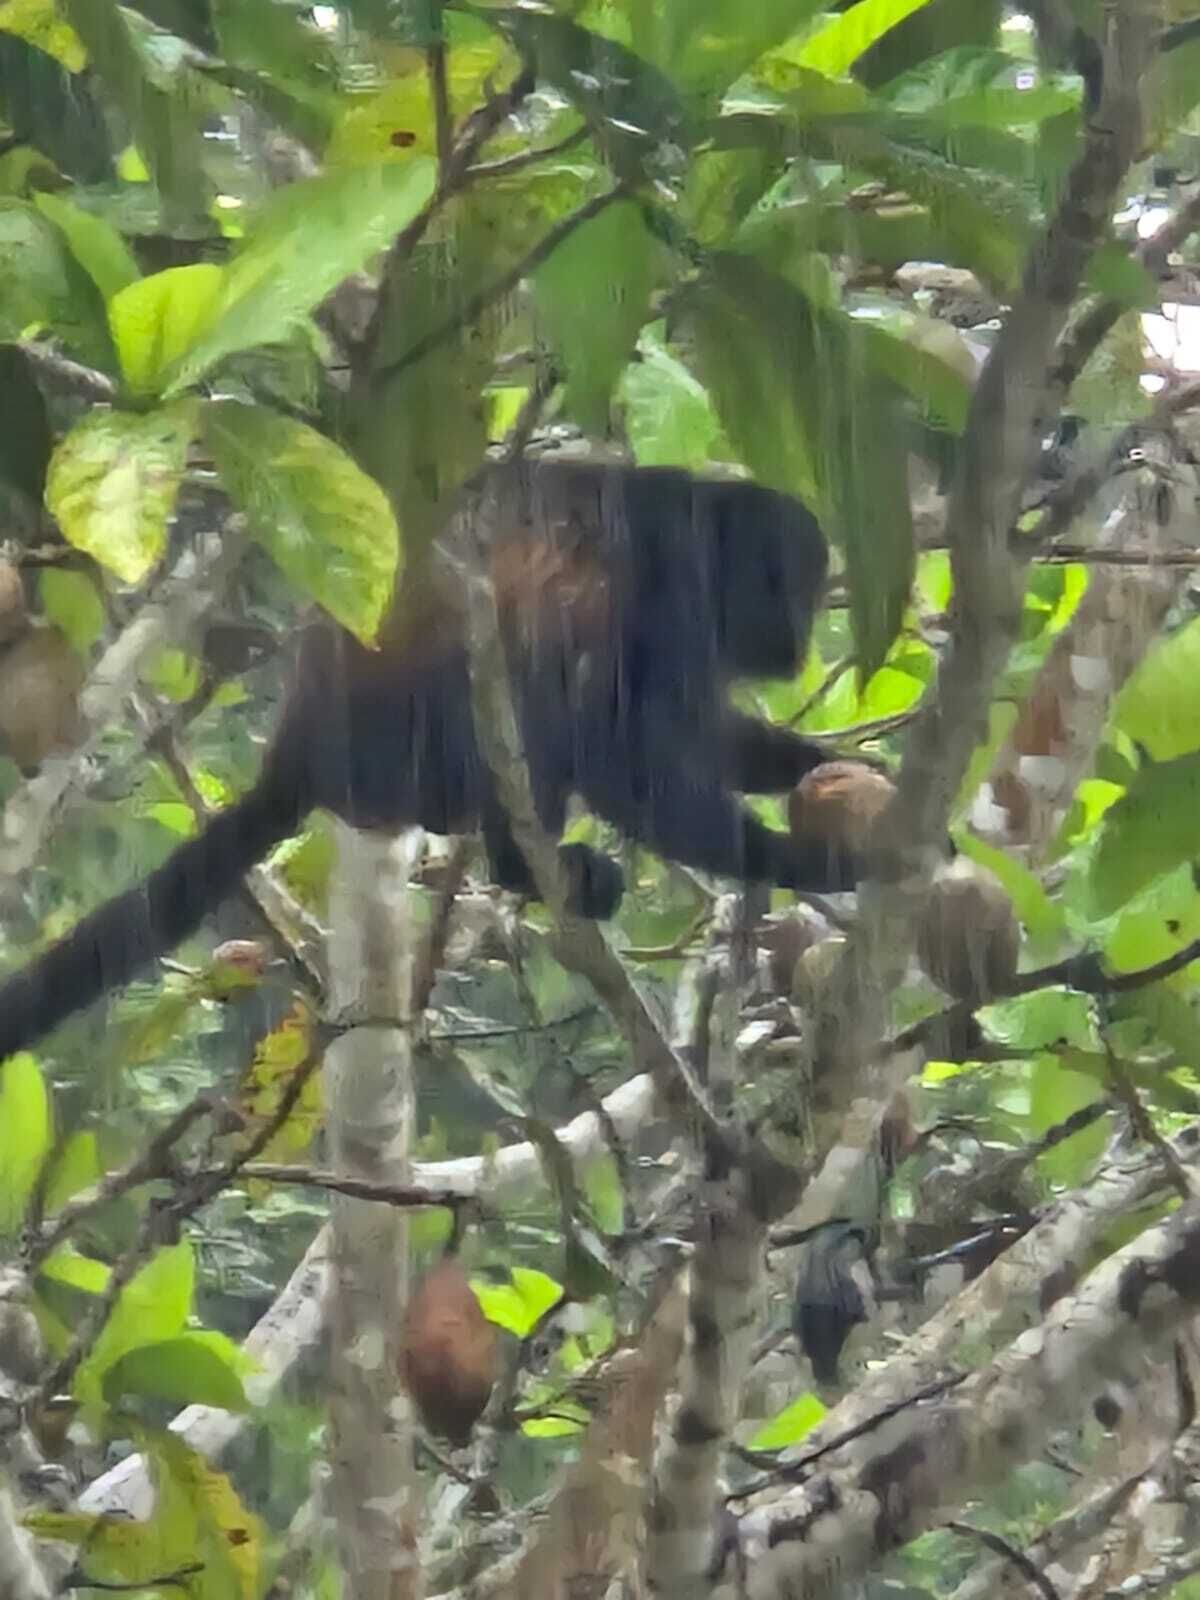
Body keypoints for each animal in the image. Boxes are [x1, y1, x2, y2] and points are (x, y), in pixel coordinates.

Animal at [0, 455, 859, 1063]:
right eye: (793, 586)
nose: (801, 638)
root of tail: (300, 749)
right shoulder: (676, 595)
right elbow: (628, 762)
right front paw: (824, 861)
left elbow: (705, 735)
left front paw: (839, 776)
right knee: (535, 683)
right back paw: (533, 863)